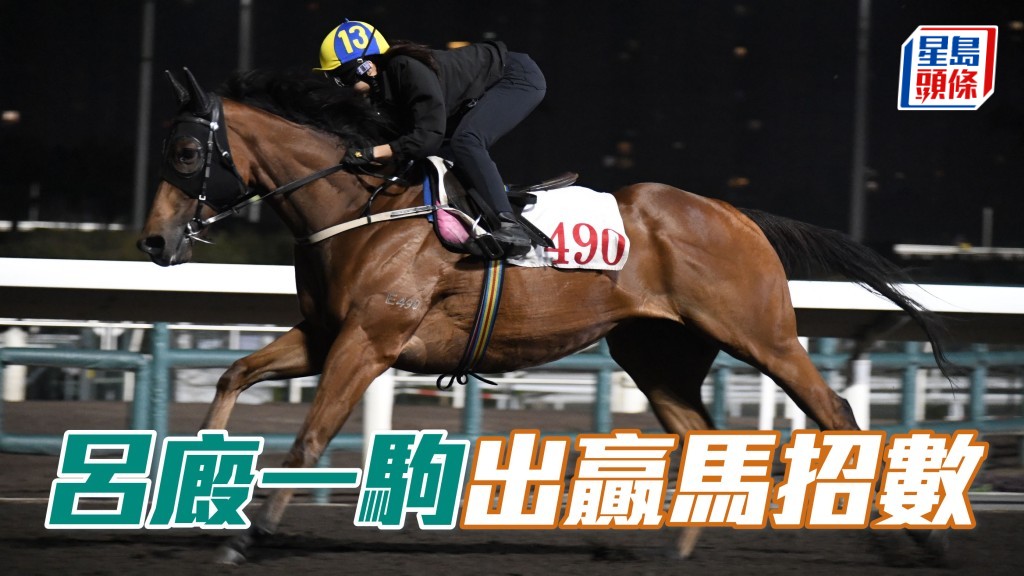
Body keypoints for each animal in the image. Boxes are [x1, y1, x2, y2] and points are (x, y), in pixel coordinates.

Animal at [139, 69, 955, 563]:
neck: (360, 208)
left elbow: (309, 439)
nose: (152, 241)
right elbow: (232, 375)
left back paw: (914, 542)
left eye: (184, 151)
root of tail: (736, 214)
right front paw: (194, 495)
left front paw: (241, 540)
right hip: (655, 353)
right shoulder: (324, 334)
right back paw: (678, 551)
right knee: (700, 435)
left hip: (762, 334)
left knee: (835, 412)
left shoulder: (370, 341)